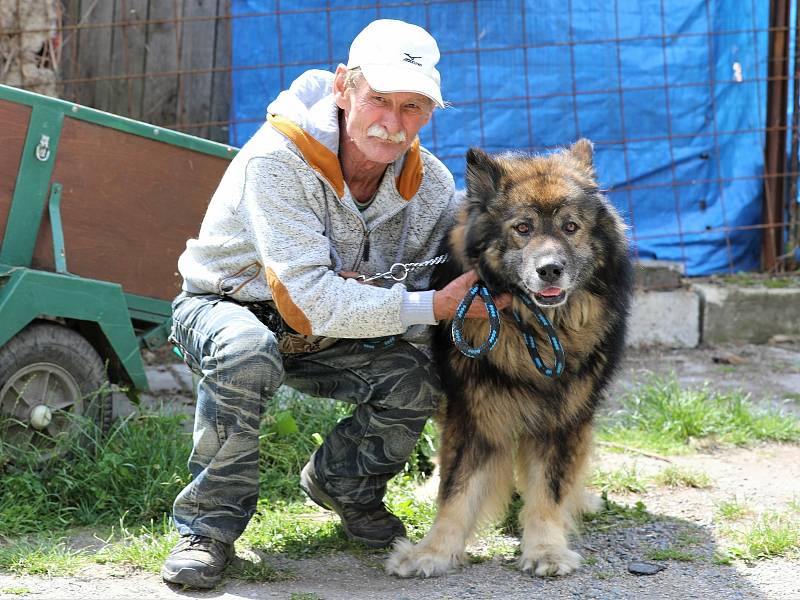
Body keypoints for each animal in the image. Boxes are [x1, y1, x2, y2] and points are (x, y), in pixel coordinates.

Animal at [384, 139, 636, 576]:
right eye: (523, 228)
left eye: (570, 227)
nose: (550, 269)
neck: (532, 325)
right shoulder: (473, 412)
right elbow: (456, 488)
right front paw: (432, 552)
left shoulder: (563, 415)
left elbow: (549, 488)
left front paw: (546, 549)